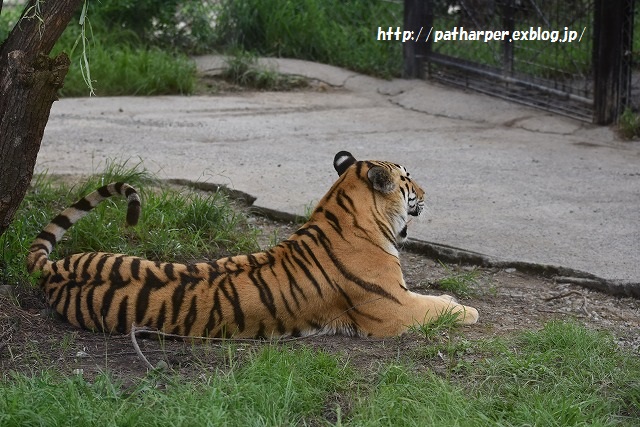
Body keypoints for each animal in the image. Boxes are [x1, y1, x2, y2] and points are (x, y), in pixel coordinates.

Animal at [27, 152, 478, 340]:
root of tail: (57, 270)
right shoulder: (393, 309)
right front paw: (466, 309)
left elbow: (433, 298)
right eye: (408, 179)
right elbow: (437, 308)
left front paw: (452, 299)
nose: (427, 192)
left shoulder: (400, 298)